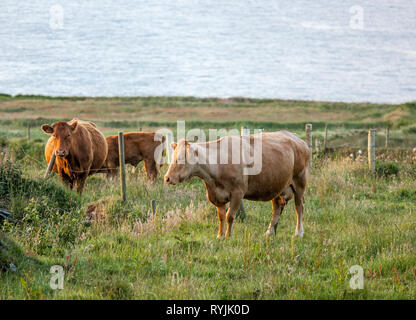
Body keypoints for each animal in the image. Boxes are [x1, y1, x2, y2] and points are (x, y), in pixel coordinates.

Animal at [164, 130, 310, 238]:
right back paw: (270, 232)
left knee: (299, 206)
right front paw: (220, 235)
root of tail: (298, 139)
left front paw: (228, 236)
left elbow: (230, 216)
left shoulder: (238, 193)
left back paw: (298, 232)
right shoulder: (216, 195)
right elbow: (221, 217)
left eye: (180, 159)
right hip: (277, 185)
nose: (167, 178)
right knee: (277, 207)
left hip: (299, 181)